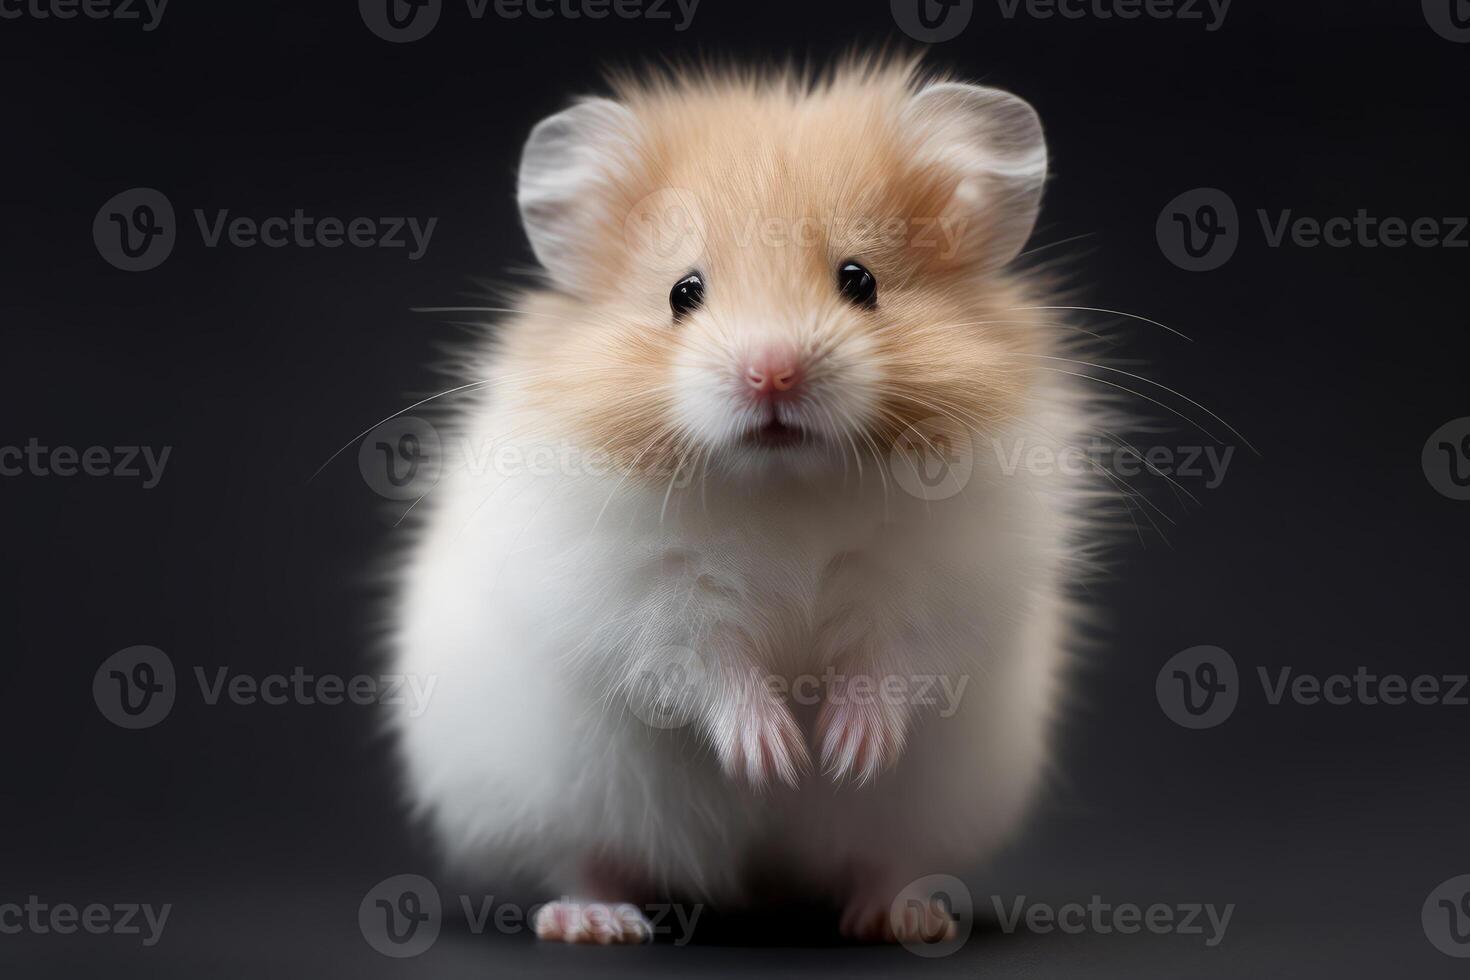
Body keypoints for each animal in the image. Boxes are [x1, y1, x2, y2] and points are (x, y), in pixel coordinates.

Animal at [385, 57, 1105, 946]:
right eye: (682, 292)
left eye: (860, 279)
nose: (773, 371)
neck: (782, 486)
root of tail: (757, 884)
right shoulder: (635, 588)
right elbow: (705, 657)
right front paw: (775, 758)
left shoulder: (944, 577)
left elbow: (894, 652)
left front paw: (843, 752)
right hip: (557, 796)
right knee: (586, 859)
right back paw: (596, 923)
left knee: (883, 863)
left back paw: (902, 916)